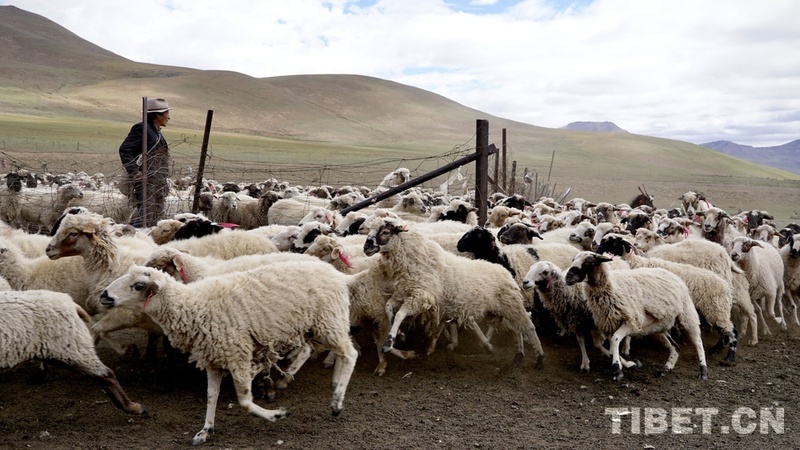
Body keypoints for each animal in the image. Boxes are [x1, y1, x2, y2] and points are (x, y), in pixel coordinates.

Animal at [100, 264, 360, 446]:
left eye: (138, 285)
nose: (104, 295)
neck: (193, 306)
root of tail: (339, 275)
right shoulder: (214, 359)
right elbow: (211, 396)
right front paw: (205, 431)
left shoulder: (238, 355)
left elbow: (244, 402)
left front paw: (277, 414)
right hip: (314, 327)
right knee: (334, 353)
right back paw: (333, 387)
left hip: (328, 322)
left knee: (351, 353)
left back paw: (337, 400)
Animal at [362, 215, 544, 370]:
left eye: (385, 232)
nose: (366, 247)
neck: (415, 259)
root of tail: (505, 270)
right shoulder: (405, 293)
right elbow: (388, 308)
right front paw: (399, 334)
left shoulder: (421, 296)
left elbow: (400, 314)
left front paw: (389, 342)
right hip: (503, 308)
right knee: (517, 328)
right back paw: (518, 354)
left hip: (512, 304)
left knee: (529, 327)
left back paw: (539, 357)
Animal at [564, 251, 708, 382]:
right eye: (573, 260)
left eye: (589, 262)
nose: (568, 277)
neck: (613, 288)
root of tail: (670, 273)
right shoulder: (610, 323)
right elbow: (610, 346)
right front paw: (629, 364)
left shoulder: (631, 320)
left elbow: (615, 340)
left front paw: (617, 369)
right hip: (659, 325)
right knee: (675, 347)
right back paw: (666, 368)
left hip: (686, 314)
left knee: (698, 341)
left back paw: (703, 370)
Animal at [596, 234, 740, 360]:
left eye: (613, 243)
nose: (597, 251)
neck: (636, 263)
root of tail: (726, 287)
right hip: (716, 311)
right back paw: (718, 350)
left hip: (716, 310)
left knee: (732, 330)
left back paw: (729, 356)